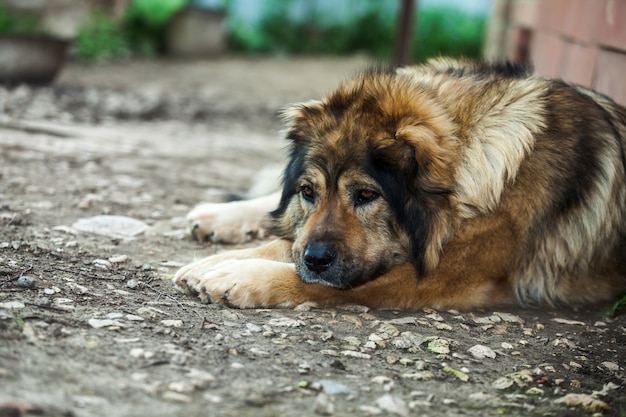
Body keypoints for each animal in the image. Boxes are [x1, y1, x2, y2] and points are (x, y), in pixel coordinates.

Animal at [171, 57, 624, 308]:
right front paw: (212, 261)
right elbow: (288, 238)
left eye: (366, 195)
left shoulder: (447, 273)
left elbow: (319, 278)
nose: (316, 259)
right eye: (308, 192)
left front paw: (239, 274)